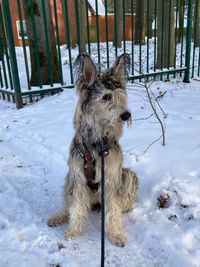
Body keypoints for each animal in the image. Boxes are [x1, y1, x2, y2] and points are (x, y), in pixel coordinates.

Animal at [48, 53, 139, 248]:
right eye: (106, 97)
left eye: (121, 97)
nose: (126, 115)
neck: (97, 142)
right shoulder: (78, 176)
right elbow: (76, 207)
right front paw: (74, 231)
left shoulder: (111, 177)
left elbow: (113, 208)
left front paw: (115, 234)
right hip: (69, 178)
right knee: (69, 204)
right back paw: (59, 216)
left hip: (127, 174)